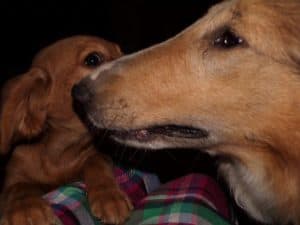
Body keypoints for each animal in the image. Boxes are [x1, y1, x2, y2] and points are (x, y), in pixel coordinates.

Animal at [0, 36, 131, 225]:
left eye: (122, 52)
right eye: (93, 60)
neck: (59, 153)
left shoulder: (96, 155)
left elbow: (95, 162)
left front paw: (109, 196)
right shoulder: (13, 178)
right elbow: (19, 187)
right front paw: (26, 209)